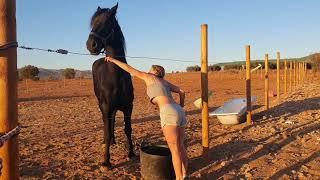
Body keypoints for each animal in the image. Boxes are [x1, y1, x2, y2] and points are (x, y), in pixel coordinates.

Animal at [85, 3, 134, 168]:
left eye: (107, 22)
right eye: (93, 23)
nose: (91, 45)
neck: (116, 76)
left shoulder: (128, 107)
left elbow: (128, 129)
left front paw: (131, 153)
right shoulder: (106, 106)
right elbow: (106, 130)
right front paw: (106, 161)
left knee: (111, 121)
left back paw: (113, 140)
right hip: (102, 105)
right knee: (106, 123)